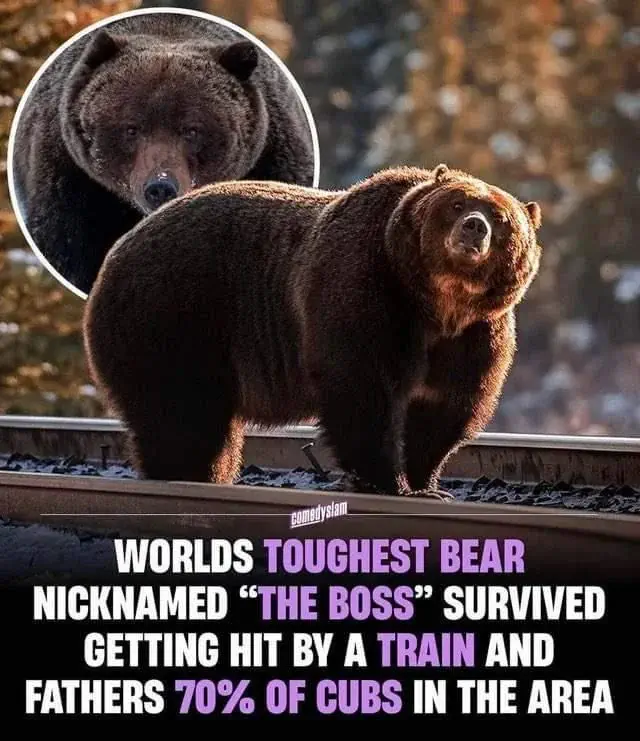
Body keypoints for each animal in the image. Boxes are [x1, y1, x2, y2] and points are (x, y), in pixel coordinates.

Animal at [11, 11, 316, 296]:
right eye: (131, 128)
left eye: (191, 130)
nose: (160, 186)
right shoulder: (72, 183)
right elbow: (67, 247)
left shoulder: (272, 160)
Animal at [83, 163, 543, 500]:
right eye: (456, 203)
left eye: (502, 217)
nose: (474, 227)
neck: (437, 302)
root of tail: (114, 253)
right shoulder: (364, 290)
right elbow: (362, 389)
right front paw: (385, 481)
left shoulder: (475, 335)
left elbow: (446, 405)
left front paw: (425, 483)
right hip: (173, 315)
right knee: (182, 413)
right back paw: (186, 473)